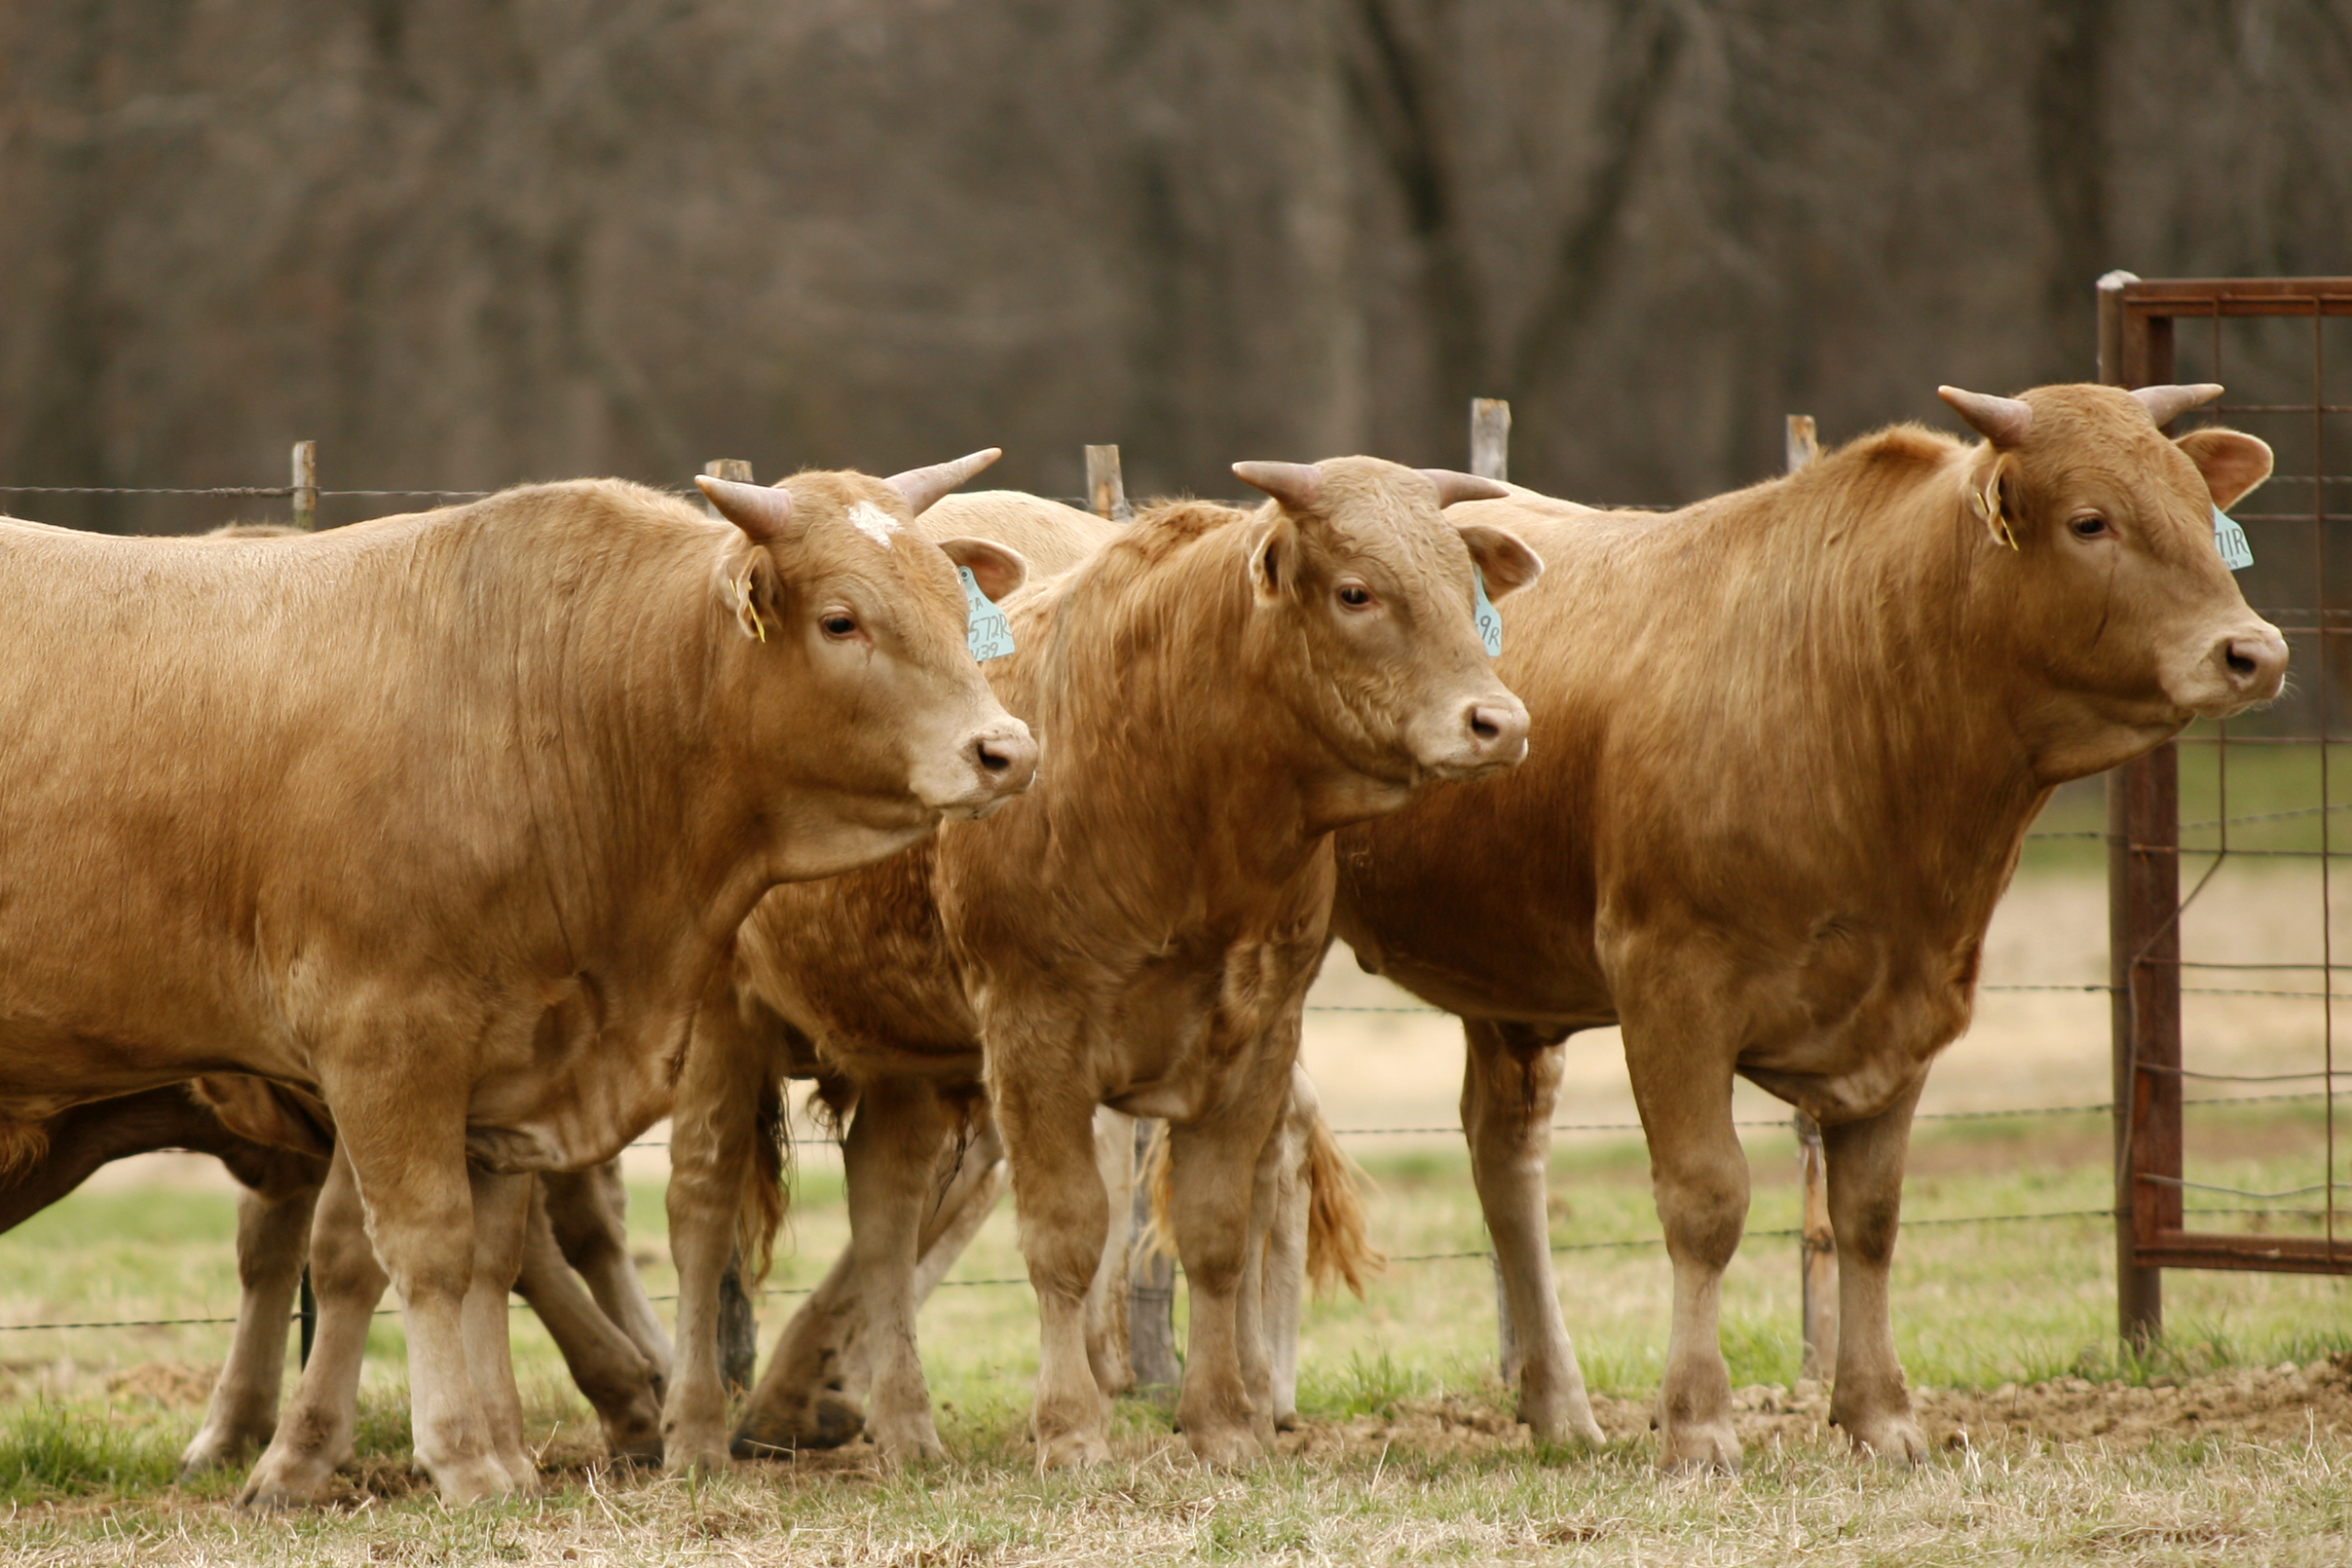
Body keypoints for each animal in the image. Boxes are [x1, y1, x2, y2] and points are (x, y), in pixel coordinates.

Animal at [0, 456, 1039, 1504]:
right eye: (840, 620)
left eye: (954, 604)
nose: (1007, 749)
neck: (545, 694)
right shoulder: (383, 1040)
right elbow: (421, 1245)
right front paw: (460, 1453)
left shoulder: (514, 1062)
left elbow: (490, 1257)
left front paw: (500, 1447)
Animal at [663, 453, 1543, 1475]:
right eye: (1356, 591)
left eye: (1462, 582)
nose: (1496, 722)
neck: (1171, 782)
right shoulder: (1033, 1030)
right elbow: (1067, 1234)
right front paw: (1071, 1429)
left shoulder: (1260, 1033)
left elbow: (1214, 1231)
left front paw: (1224, 1422)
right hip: (719, 1023)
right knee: (700, 1205)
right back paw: (691, 1431)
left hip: (899, 1053)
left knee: (883, 1210)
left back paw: (909, 1429)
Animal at [1335, 381, 2286, 1475]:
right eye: (2092, 521)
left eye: (2200, 508)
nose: (2253, 651)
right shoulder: (1670, 981)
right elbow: (1706, 1200)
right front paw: (1698, 1423)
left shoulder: (1912, 1000)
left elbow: (1867, 1214)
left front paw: (1880, 1414)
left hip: (1506, 978)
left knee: (1505, 1159)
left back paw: (1559, 1406)